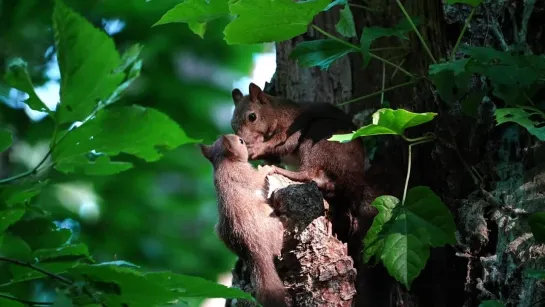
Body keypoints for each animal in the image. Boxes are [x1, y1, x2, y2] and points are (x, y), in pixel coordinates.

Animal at [199, 135, 284, 307]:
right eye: (241, 141)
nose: (245, 140)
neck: (224, 162)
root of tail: (255, 249)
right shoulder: (245, 174)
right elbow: (257, 178)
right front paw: (267, 167)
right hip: (271, 222)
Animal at [227, 83, 376, 272]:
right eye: (232, 123)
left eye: (252, 117)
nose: (242, 141)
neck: (276, 113)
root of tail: (354, 179)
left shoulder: (292, 129)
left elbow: (281, 145)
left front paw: (256, 149)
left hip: (320, 135)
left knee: (307, 173)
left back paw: (280, 170)